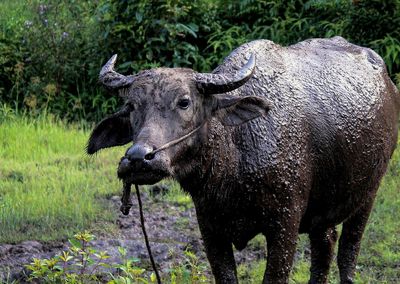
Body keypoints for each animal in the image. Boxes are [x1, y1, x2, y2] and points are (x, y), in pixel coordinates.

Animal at [87, 36, 400, 284]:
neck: (234, 160)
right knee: (325, 248)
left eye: (184, 102)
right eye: (131, 106)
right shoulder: (210, 228)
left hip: (367, 194)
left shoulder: (284, 226)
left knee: (348, 251)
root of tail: (388, 84)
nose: (139, 157)